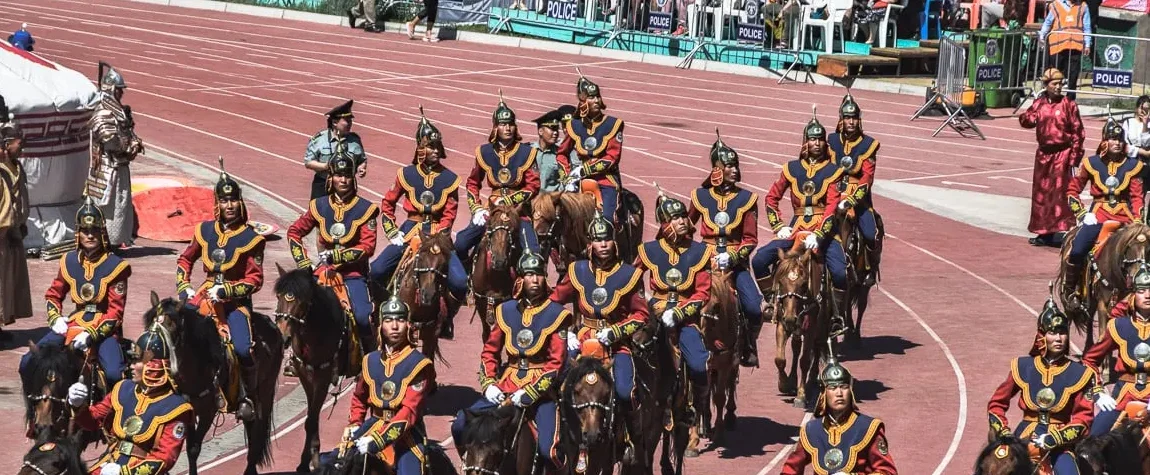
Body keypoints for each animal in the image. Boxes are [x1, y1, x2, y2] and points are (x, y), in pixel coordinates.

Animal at [143, 288, 282, 473]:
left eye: (171, 325)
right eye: (150, 323)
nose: (150, 351)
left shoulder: (208, 410)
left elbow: (194, 448)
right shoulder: (189, 409)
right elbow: (190, 448)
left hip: (265, 392)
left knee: (257, 435)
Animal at [273, 264, 349, 471]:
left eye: (302, 301)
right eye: (279, 296)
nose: (282, 337)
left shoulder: (323, 378)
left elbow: (313, 417)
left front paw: (312, 460)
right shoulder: (305, 377)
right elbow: (310, 420)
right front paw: (307, 460)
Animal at [1053, 220, 1150, 349]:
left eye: (1149, 249)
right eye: (1129, 246)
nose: (1138, 275)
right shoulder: (1103, 303)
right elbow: (1104, 335)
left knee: (1089, 318)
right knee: (1068, 316)